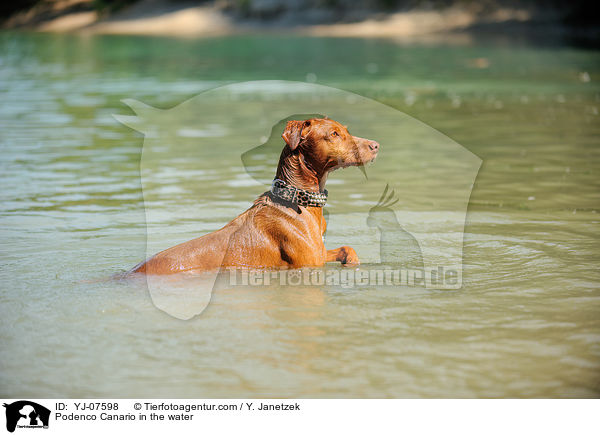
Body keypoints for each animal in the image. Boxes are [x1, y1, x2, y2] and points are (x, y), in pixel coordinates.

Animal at [131, 118, 380, 276]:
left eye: (346, 130)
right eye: (334, 134)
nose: (376, 145)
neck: (297, 200)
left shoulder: (319, 253)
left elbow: (348, 248)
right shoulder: (310, 263)